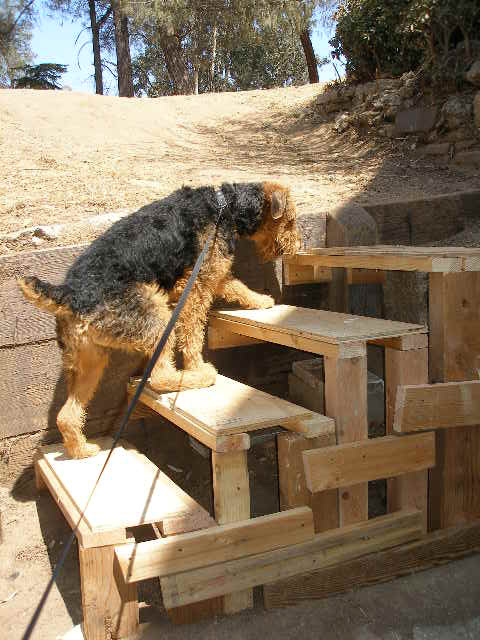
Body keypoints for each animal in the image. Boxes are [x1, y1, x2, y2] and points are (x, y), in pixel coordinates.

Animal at [19, 182, 300, 458]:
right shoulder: (197, 284)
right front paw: (196, 365)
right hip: (158, 319)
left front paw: (261, 300)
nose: (296, 248)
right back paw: (201, 376)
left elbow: (236, 286)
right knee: (160, 376)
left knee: (66, 415)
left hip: (90, 359)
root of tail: (69, 293)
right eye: (290, 220)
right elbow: (193, 336)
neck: (225, 205)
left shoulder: (210, 274)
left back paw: (83, 450)